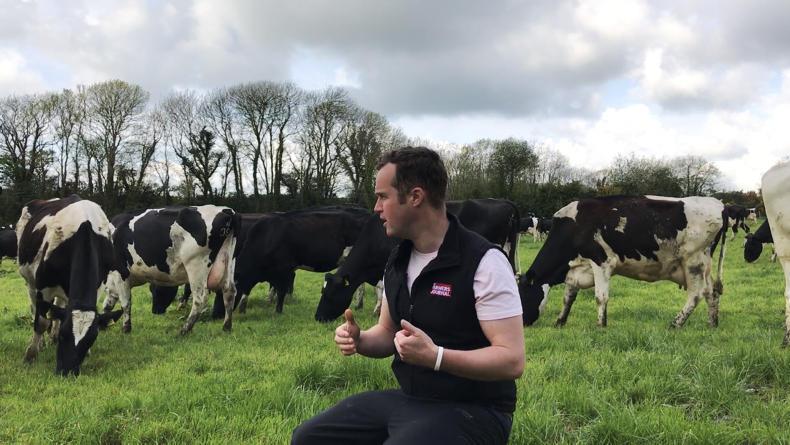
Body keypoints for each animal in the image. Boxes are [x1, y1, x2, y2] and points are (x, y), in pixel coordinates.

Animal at [17, 195, 122, 375]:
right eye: (63, 336)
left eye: (90, 340)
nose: (66, 372)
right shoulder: (43, 287)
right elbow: (42, 322)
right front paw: (31, 355)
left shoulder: (99, 285)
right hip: (30, 281)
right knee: (35, 308)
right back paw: (41, 343)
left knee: (58, 307)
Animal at [102, 205, 240, 334]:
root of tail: (226, 210)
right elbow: (108, 303)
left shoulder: (121, 273)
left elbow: (125, 302)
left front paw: (126, 328)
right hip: (228, 261)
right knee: (229, 292)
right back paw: (226, 327)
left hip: (196, 265)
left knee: (200, 299)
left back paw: (185, 329)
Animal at [314, 198, 521, 322]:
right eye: (322, 292)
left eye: (330, 294)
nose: (318, 317)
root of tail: (505, 201)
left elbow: (382, 289)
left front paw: (379, 311)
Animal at [518, 195, 727, 328]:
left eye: (520, 297)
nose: (522, 324)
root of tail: (719, 205)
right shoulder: (577, 268)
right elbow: (568, 297)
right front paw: (560, 322)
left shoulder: (602, 261)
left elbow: (600, 297)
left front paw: (601, 325)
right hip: (704, 265)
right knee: (711, 293)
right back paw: (712, 324)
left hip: (693, 261)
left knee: (696, 295)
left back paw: (676, 324)